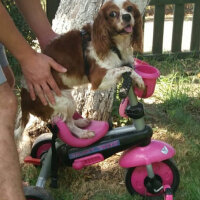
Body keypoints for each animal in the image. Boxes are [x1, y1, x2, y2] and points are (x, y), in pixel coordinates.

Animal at [18, 0, 145, 139]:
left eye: (130, 8)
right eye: (112, 14)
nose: (127, 16)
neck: (113, 43)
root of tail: (24, 97)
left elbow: (130, 67)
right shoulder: (98, 78)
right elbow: (126, 69)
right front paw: (140, 80)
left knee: (69, 120)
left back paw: (81, 122)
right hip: (63, 101)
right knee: (67, 124)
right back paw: (83, 133)